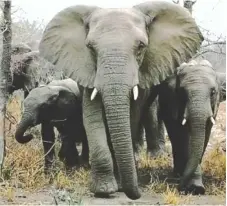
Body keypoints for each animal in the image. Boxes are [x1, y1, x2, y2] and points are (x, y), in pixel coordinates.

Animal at [38, 0, 203, 199]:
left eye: (141, 47)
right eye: (90, 48)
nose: (136, 194)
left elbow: (132, 115)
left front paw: (120, 183)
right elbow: (92, 116)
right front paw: (104, 189)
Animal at [151, 59, 225, 195]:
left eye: (213, 93)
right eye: (182, 92)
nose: (179, 187)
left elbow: (204, 134)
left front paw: (196, 187)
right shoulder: (173, 101)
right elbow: (183, 136)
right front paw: (195, 187)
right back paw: (178, 173)